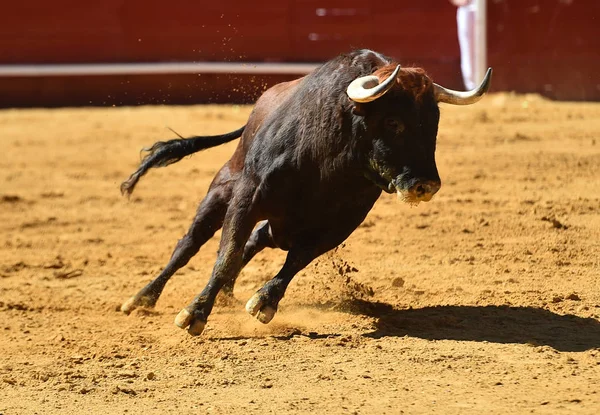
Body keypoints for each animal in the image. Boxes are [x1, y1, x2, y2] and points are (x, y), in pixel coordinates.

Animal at [118, 48, 492, 336]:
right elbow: (227, 254)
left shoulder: (342, 222)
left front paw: (264, 302)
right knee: (189, 245)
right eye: (393, 122)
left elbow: (296, 259)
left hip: (281, 225)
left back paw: (225, 293)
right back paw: (141, 299)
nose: (426, 184)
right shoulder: (246, 199)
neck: (328, 163)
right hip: (221, 191)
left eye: (433, 125)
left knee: (256, 240)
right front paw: (194, 314)